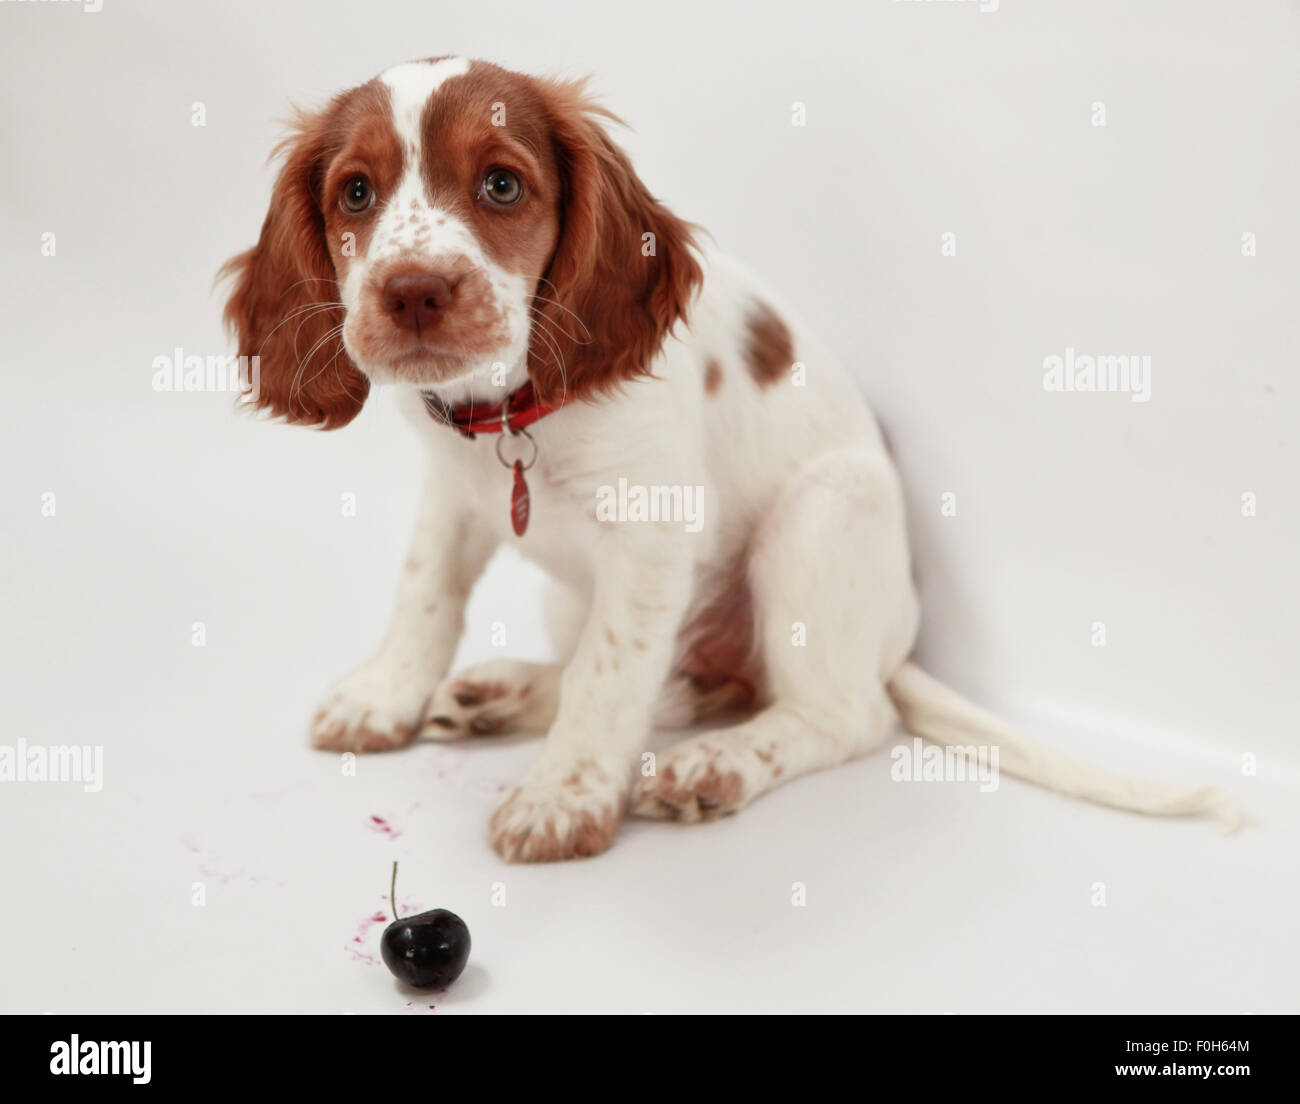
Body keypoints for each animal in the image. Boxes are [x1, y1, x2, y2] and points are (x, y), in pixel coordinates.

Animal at [223, 55, 1237, 863]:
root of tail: (897, 642)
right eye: (356, 192)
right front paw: (385, 696)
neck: (512, 409)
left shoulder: (648, 536)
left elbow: (608, 674)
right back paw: (497, 694)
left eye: (503, 186)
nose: (413, 293)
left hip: (820, 516)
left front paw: (561, 799)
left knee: (839, 713)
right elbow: (425, 593)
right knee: (692, 685)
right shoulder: (454, 491)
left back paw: (713, 765)